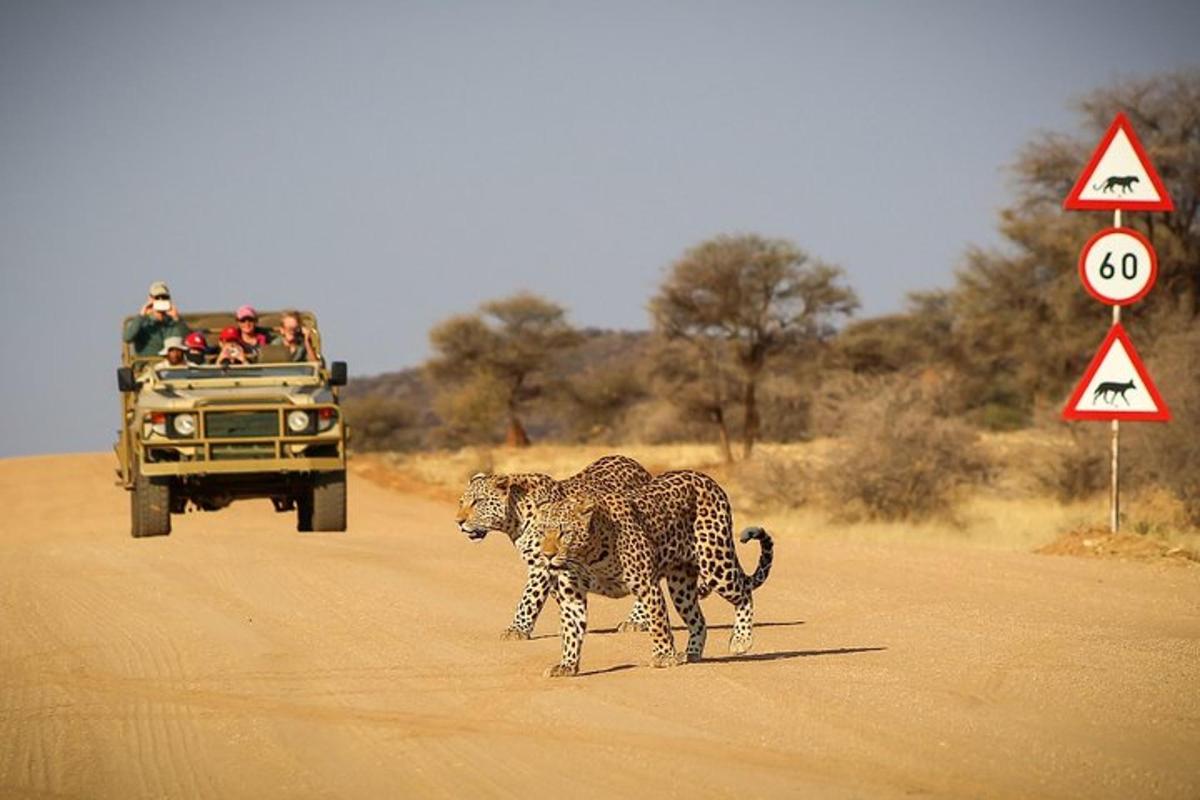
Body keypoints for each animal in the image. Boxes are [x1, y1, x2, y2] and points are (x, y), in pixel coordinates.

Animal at [451, 453, 657, 642]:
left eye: (478, 501)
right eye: (461, 502)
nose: (458, 522)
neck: (515, 518)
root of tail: (634, 463)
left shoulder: (542, 564)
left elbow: (529, 597)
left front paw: (516, 630)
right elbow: (559, 595)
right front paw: (569, 624)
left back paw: (637, 620)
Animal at [532, 472, 772, 681]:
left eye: (564, 533)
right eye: (541, 532)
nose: (547, 555)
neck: (587, 555)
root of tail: (707, 479)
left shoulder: (647, 585)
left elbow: (658, 622)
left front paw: (664, 656)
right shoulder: (571, 596)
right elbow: (571, 630)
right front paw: (567, 665)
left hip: (715, 563)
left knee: (744, 593)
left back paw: (741, 639)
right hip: (681, 585)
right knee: (698, 620)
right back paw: (691, 653)